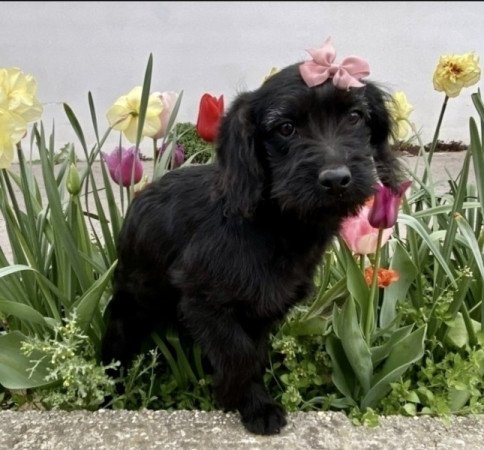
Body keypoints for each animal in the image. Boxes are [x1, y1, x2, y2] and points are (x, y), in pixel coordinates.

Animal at [102, 62, 400, 432]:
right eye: (285, 128)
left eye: (355, 116)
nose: (336, 179)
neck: (273, 223)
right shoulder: (204, 301)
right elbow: (238, 354)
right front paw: (248, 403)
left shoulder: (263, 307)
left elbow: (253, 353)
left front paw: (247, 398)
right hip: (136, 299)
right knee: (116, 334)